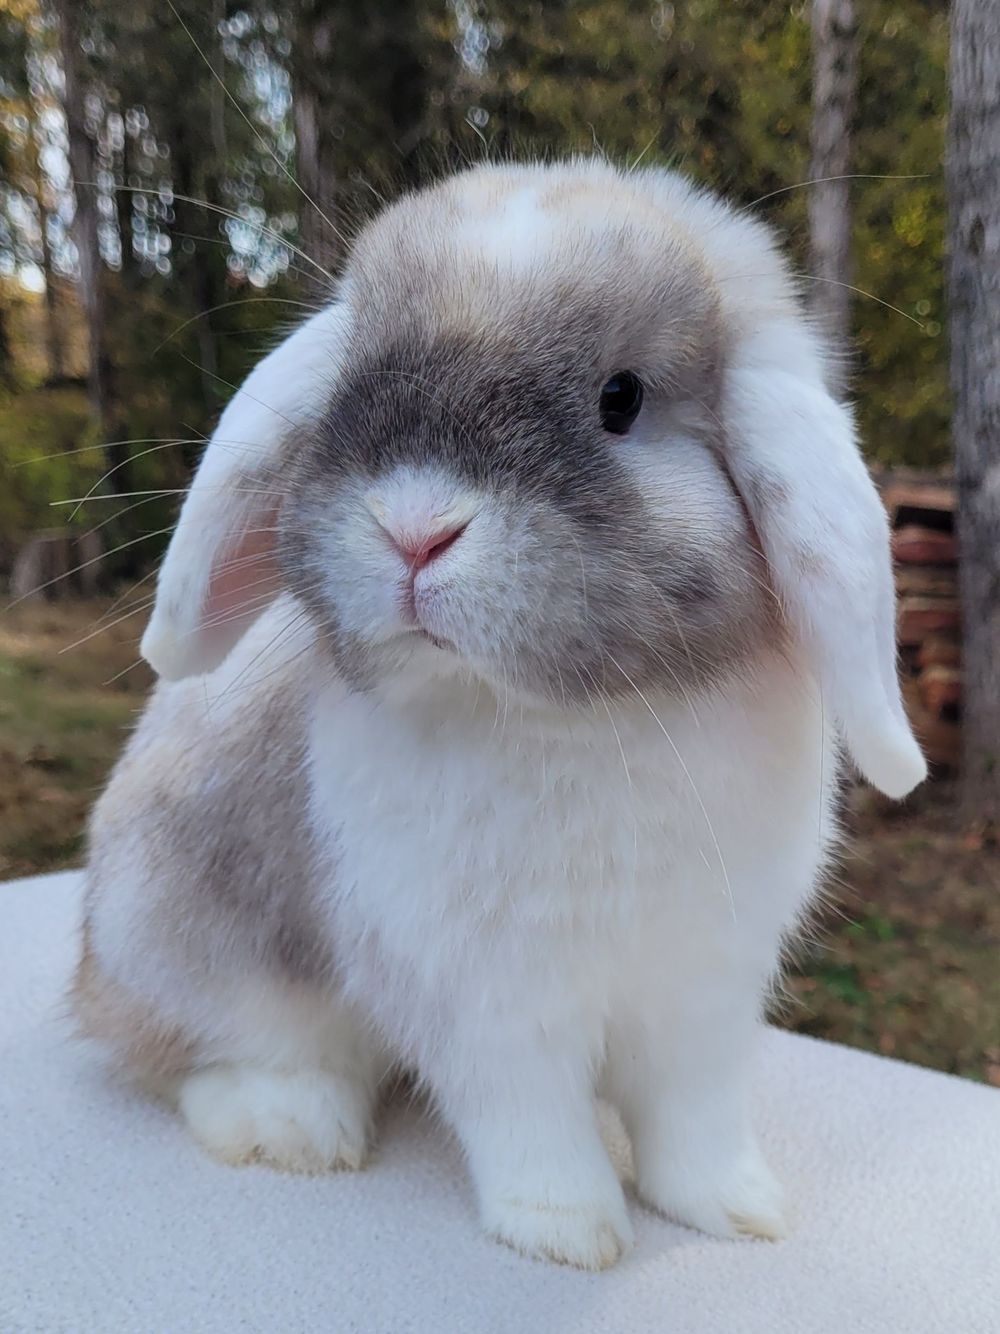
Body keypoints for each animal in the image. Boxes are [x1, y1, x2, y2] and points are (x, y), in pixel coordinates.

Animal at [76, 158, 926, 1271]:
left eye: (621, 398)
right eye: (352, 383)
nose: (415, 528)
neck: (571, 720)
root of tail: (91, 974)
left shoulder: (702, 986)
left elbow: (693, 1116)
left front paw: (736, 1208)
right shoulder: (484, 997)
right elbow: (530, 1118)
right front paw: (568, 1230)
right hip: (187, 942)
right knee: (197, 1053)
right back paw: (291, 1126)